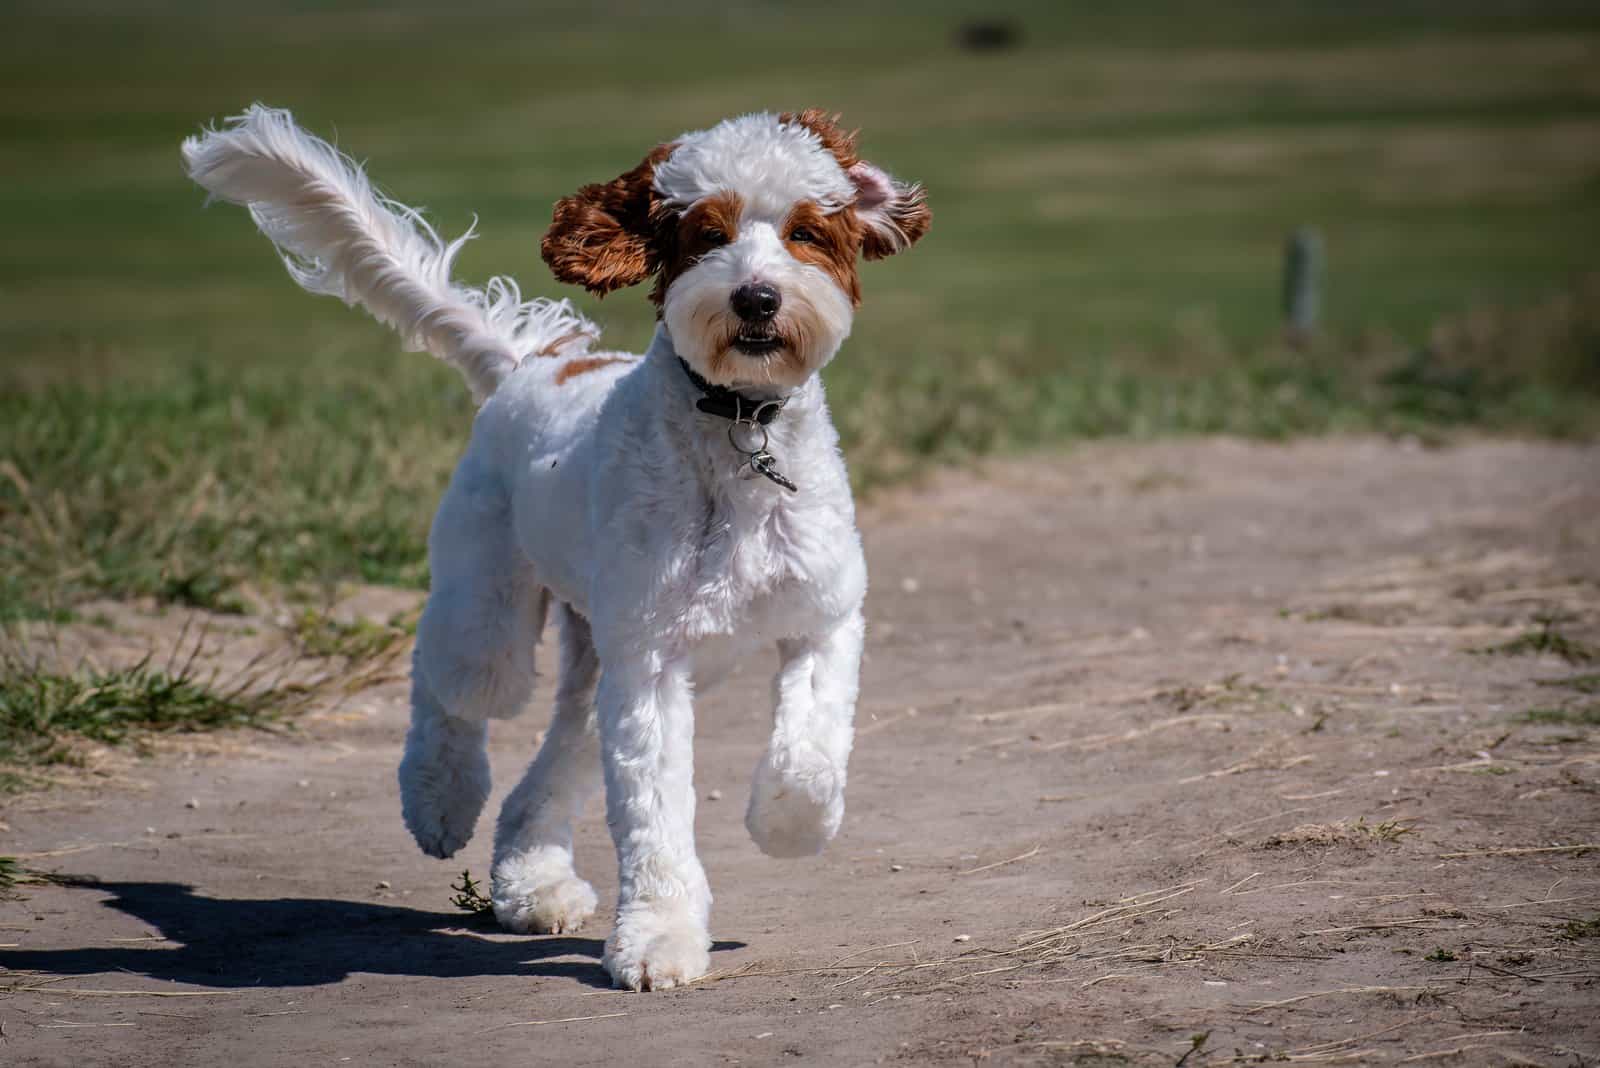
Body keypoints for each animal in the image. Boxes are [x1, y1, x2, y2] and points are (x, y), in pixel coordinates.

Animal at [183, 103, 934, 991]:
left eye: (807, 232)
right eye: (707, 234)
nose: (755, 297)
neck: (737, 432)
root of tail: (528, 364)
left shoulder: (821, 619)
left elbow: (810, 754)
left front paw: (785, 827)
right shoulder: (652, 667)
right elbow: (654, 819)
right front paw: (659, 937)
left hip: (595, 653)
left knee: (548, 768)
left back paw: (532, 883)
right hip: (492, 612)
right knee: (448, 687)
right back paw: (439, 801)